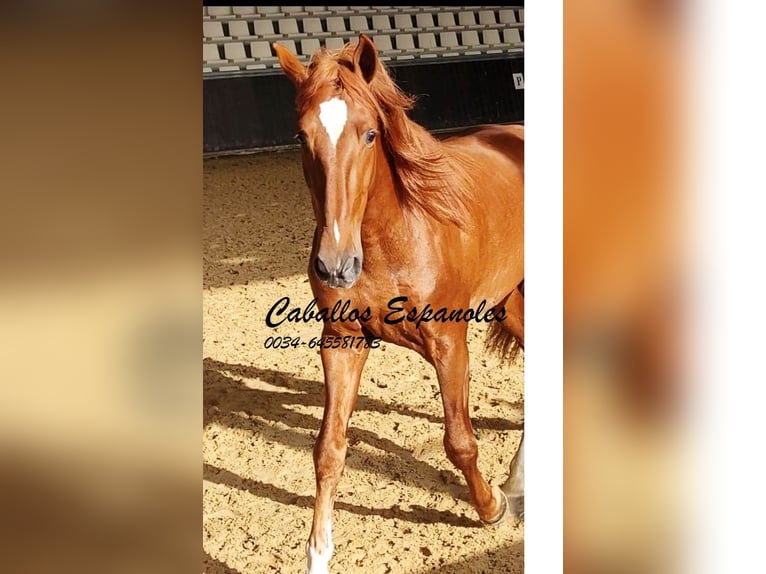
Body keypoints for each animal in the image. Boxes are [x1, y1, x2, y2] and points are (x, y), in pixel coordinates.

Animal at [272, 37, 524, 574]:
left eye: (370, 134)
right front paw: (318, 552)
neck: (396, 239)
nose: (336, 265)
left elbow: (459, 441)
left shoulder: (449, 344)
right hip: (510, 300)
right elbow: (328, 449)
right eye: (301, 136)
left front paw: (491, 506)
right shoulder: (342, 343)